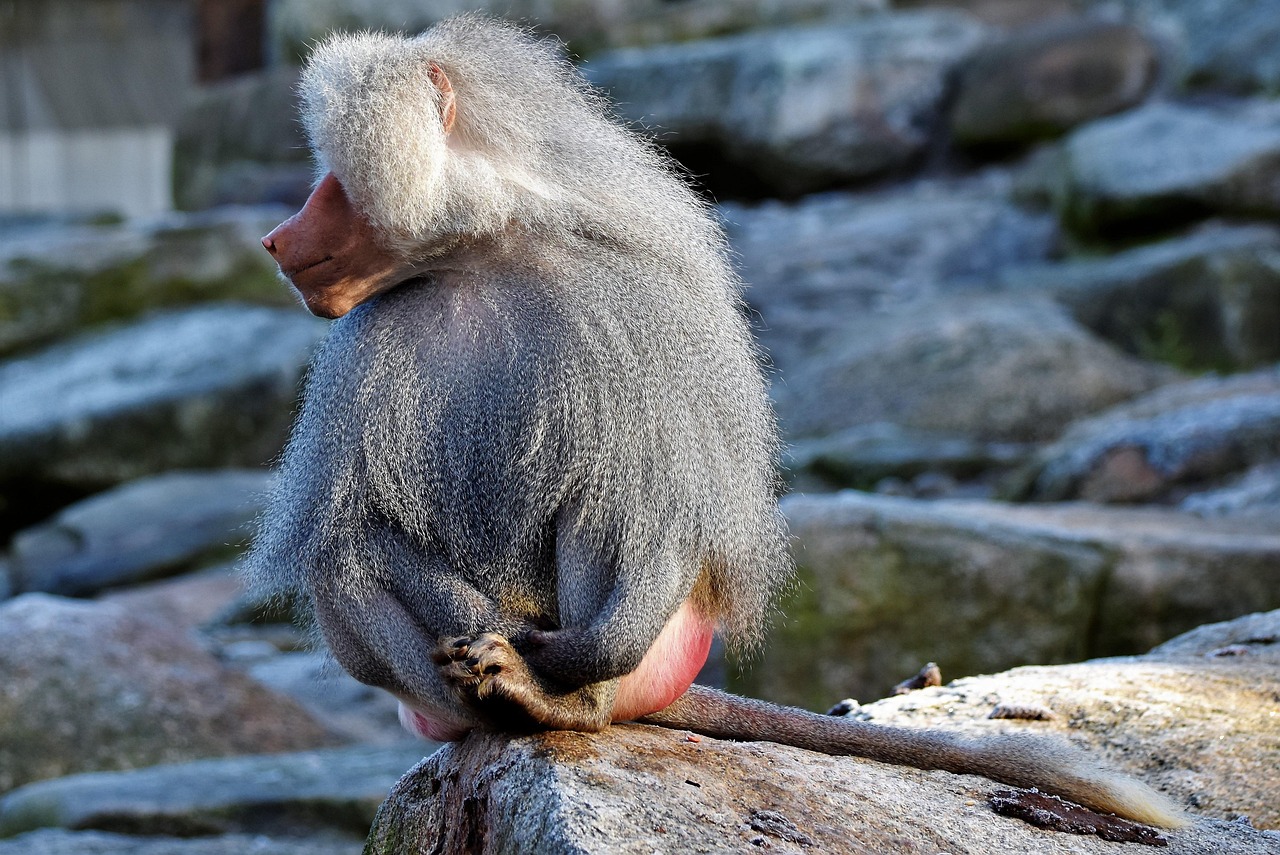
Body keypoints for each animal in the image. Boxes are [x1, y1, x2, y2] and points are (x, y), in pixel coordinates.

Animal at [245, 16, 1186, 829]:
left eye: (334, 180)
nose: (274, 237)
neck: (489, 254)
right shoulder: (360, 353)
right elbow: (358, 525)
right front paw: (483, 628)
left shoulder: (634, 309)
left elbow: (662, 504)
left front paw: (538, 658)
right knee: (348, 567)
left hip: (662, 653)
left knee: (614, 506)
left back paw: (557, 700)